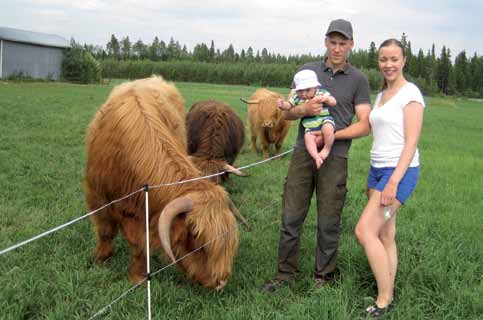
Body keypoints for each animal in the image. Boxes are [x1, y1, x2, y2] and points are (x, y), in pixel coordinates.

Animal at [84, 76, 242, 288]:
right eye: (198, 242)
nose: (221, 282)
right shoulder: (96, 196)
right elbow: (105, 230)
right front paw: (101, 258)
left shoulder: (146, 213)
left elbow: (141, 245)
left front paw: (137, 276)